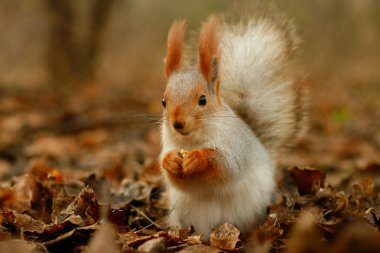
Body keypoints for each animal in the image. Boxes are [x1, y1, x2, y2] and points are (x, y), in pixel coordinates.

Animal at [159, 14, 308, 240]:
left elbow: (226, 168)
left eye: (203, 99)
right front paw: (170, 161)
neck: (193, 141)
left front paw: (198, 158)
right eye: (163, 102)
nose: (177, 123)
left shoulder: (235, 149)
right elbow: (177, 181)